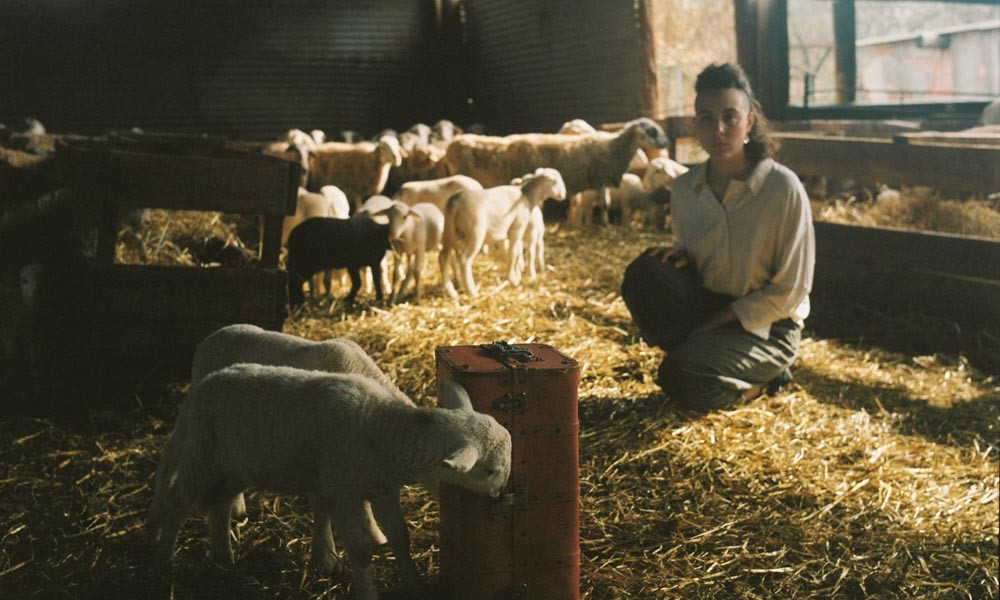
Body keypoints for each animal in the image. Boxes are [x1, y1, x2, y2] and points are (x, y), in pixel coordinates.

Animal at [145, 364, 512, 596]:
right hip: (202, 457)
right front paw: (367, 591)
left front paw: (416, 584)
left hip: (234, 465)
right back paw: (165, 559)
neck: (384, 428)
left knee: (220, 505)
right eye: (489, 470)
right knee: (177, 504)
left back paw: (224, 558)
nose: (500, 495)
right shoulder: (344, 491)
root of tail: (201, 386)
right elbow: (361, 549)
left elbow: (400, 537)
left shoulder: (383, 488)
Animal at [442, 166, 568, 298]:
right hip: (475, 233)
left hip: (450, 231)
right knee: (464, 260)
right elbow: (514, 253)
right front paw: (514, 280)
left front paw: (514, 275)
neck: (527, 197)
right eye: (556, 181)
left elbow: (509, 253)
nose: (564, 195)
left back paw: (451, 290)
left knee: (444, 257)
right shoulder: (517, 228)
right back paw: (471, 291)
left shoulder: (504, 234)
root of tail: (455, 201)